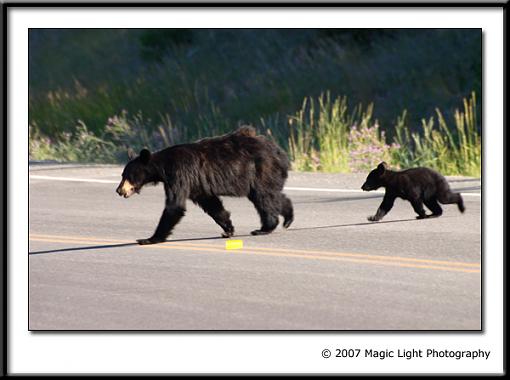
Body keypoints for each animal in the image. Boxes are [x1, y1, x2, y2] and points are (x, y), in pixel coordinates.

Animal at [114, 127, 290, 245]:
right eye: (122, 175)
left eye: (127, 175)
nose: (119, 190)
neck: (162, 167)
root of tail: (279, 151)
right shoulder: (198, 184)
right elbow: (212, 204)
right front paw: (228, 229)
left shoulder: (179, 175)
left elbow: (175, 206)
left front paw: (149, 238)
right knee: (272, 195)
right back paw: (288, 217)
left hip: (260, 169)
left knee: (264, 197)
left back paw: (264, 228)